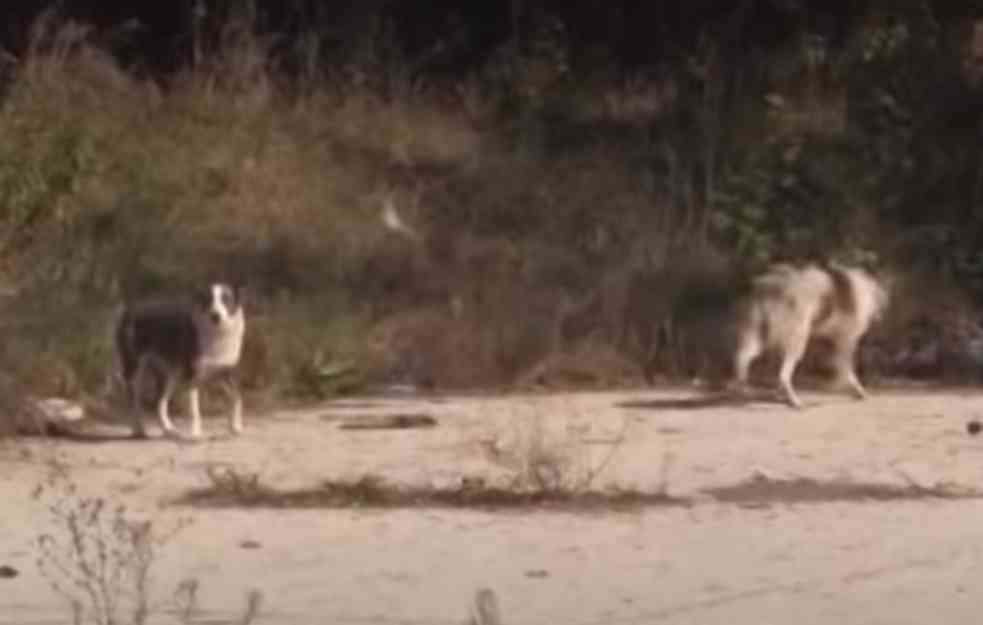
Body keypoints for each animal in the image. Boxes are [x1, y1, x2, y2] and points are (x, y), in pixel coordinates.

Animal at [116, 282, 246, 438]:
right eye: (208, 300)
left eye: (226, 299)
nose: (215, 315)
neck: (217, 333)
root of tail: (130, 309)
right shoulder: (192, 376)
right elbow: (194, 410)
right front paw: (195, 433)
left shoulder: (227, 372)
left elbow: (237, 398)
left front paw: (235, 427)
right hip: (135, 368)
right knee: (133, 400)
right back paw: (138, 428)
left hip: (170, 374)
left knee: (159, 402)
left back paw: (168, 429)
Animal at [732, 260, 892, 408]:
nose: (879, 317)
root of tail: (767, 285)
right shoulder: (846, 340)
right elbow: (846, 369)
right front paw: (854, 389)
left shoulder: (831, 341)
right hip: (797, 339)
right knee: (783, 375)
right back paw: (794, 401)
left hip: (760, 337)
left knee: (743, 359)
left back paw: (745, 390)